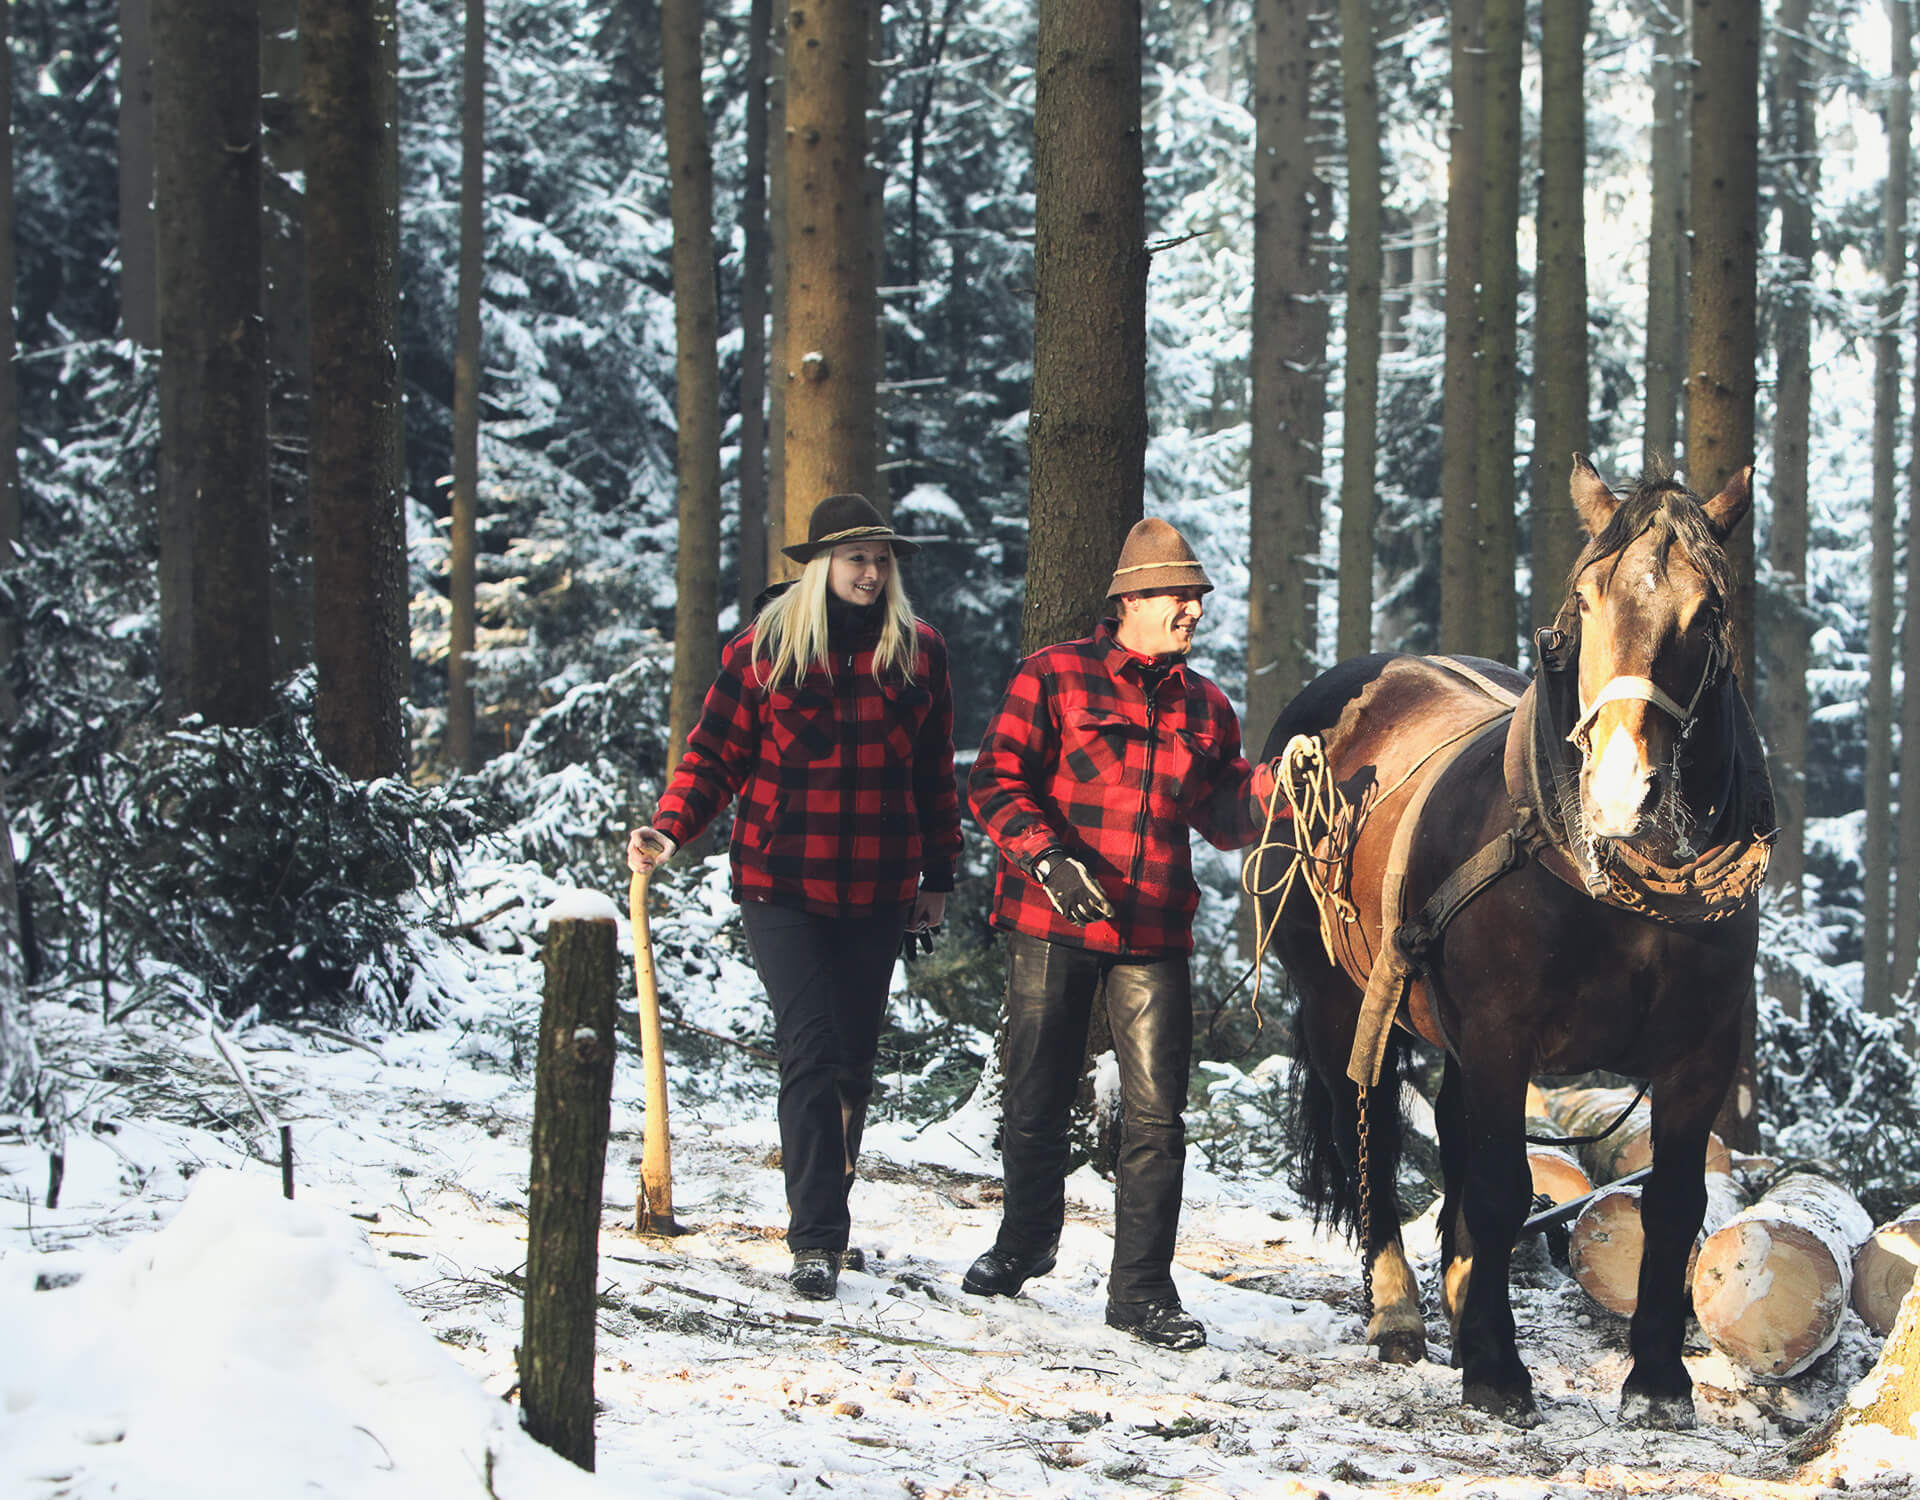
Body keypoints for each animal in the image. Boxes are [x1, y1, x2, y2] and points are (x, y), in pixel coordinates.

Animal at [1251, 457, 1774, 1428]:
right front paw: (1497, 1368)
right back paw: (1398, 1308)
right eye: (1585, 598)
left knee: (1453, 1129)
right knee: (1369, 1124)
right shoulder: (1501, 1036)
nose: (1622, 792)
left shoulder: (1700, 1053)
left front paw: (1657, 1379)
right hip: (1344, 997)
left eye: (1709, 612)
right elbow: (1499, 1187)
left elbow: (1674, 1203)